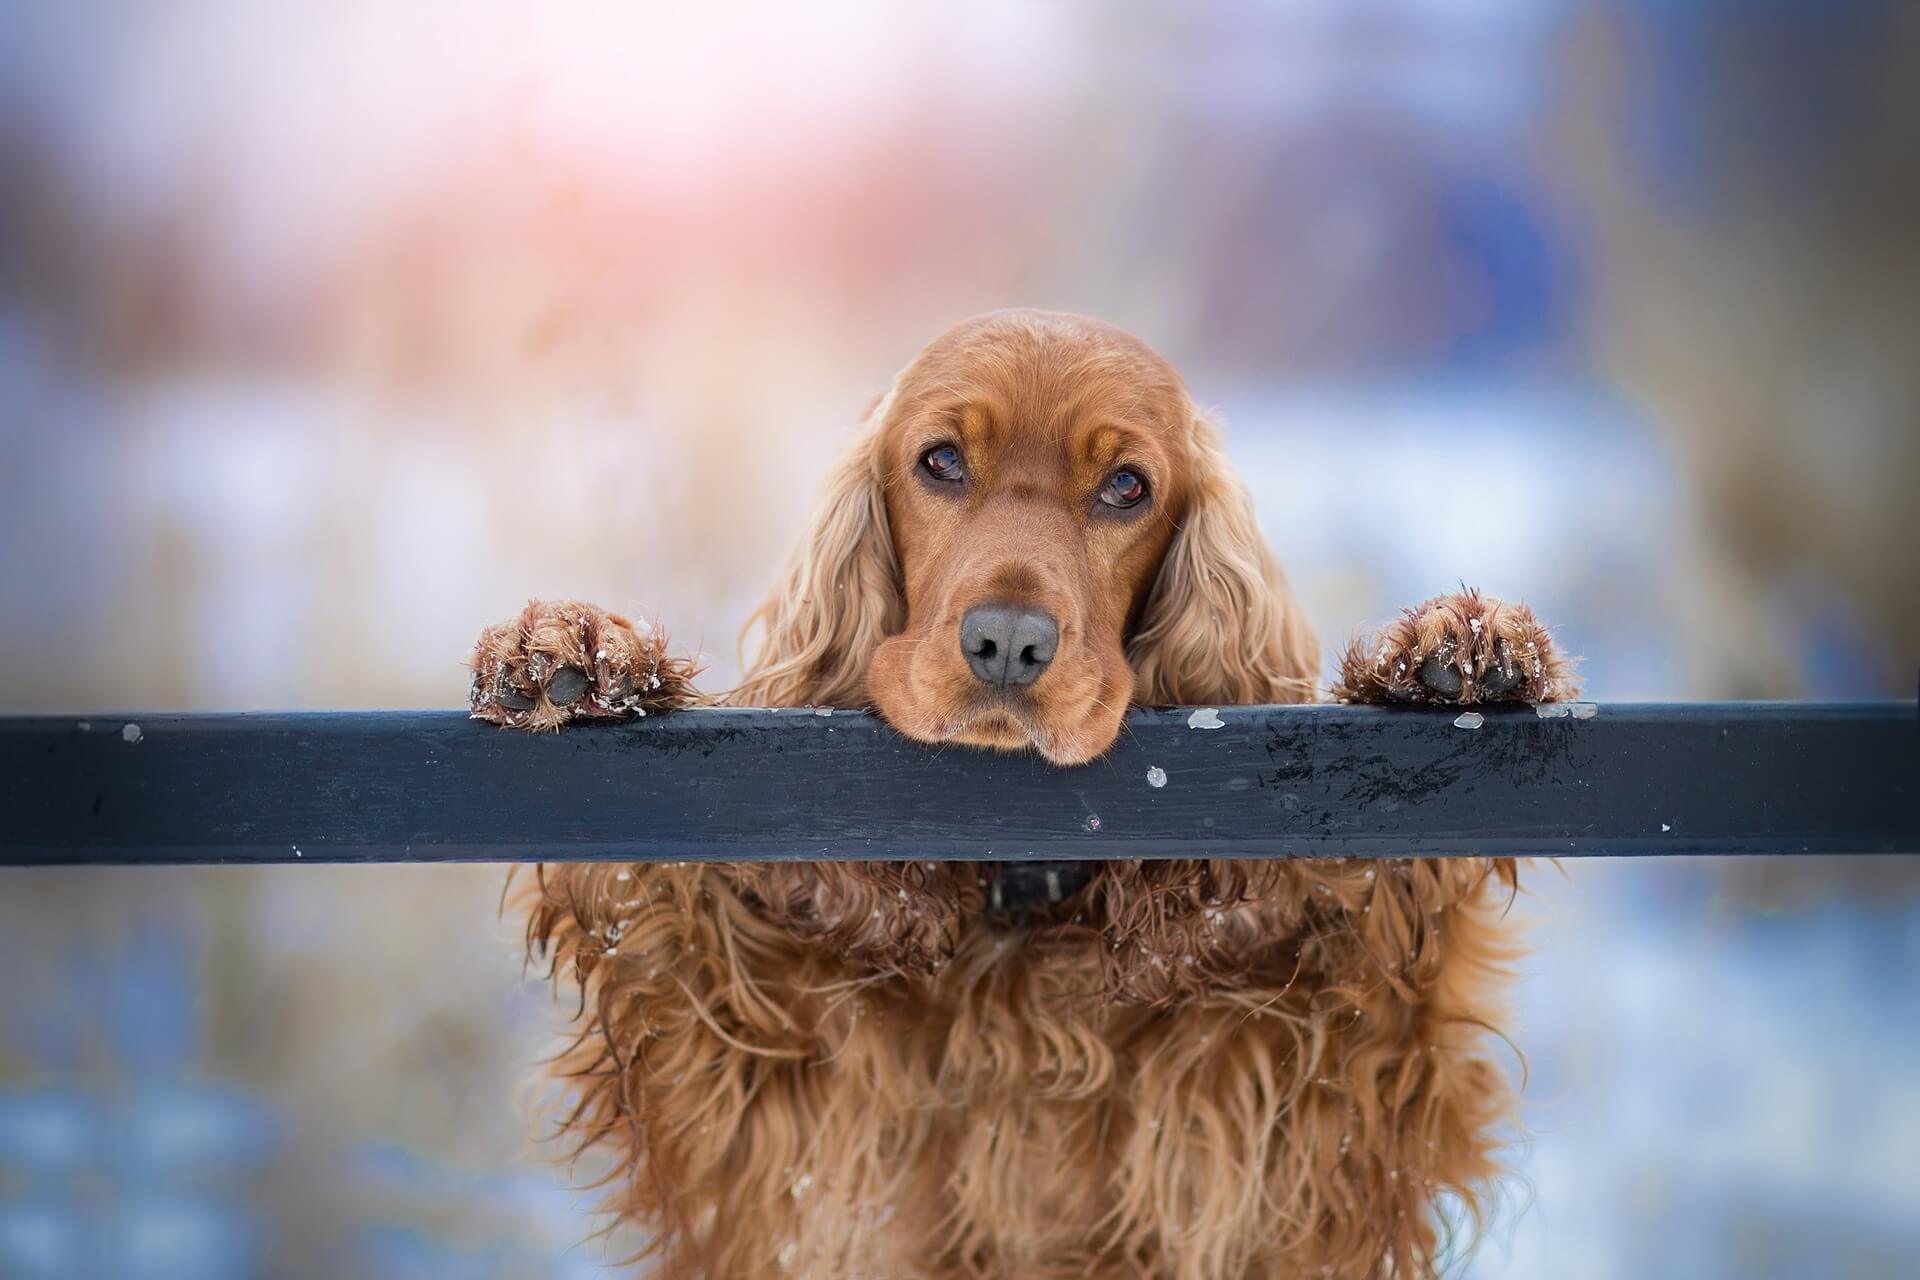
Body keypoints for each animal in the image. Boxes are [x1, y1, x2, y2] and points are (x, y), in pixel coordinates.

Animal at [468, 312, 1574, 1280]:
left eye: (1127, 486)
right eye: (941, 461)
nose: (1007, 641)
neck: (1019, 900)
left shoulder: (1307, 1117)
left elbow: (1394, 967)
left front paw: (1450, 649)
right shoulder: (758, 1111)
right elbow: (661, 922)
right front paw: (577, 654)